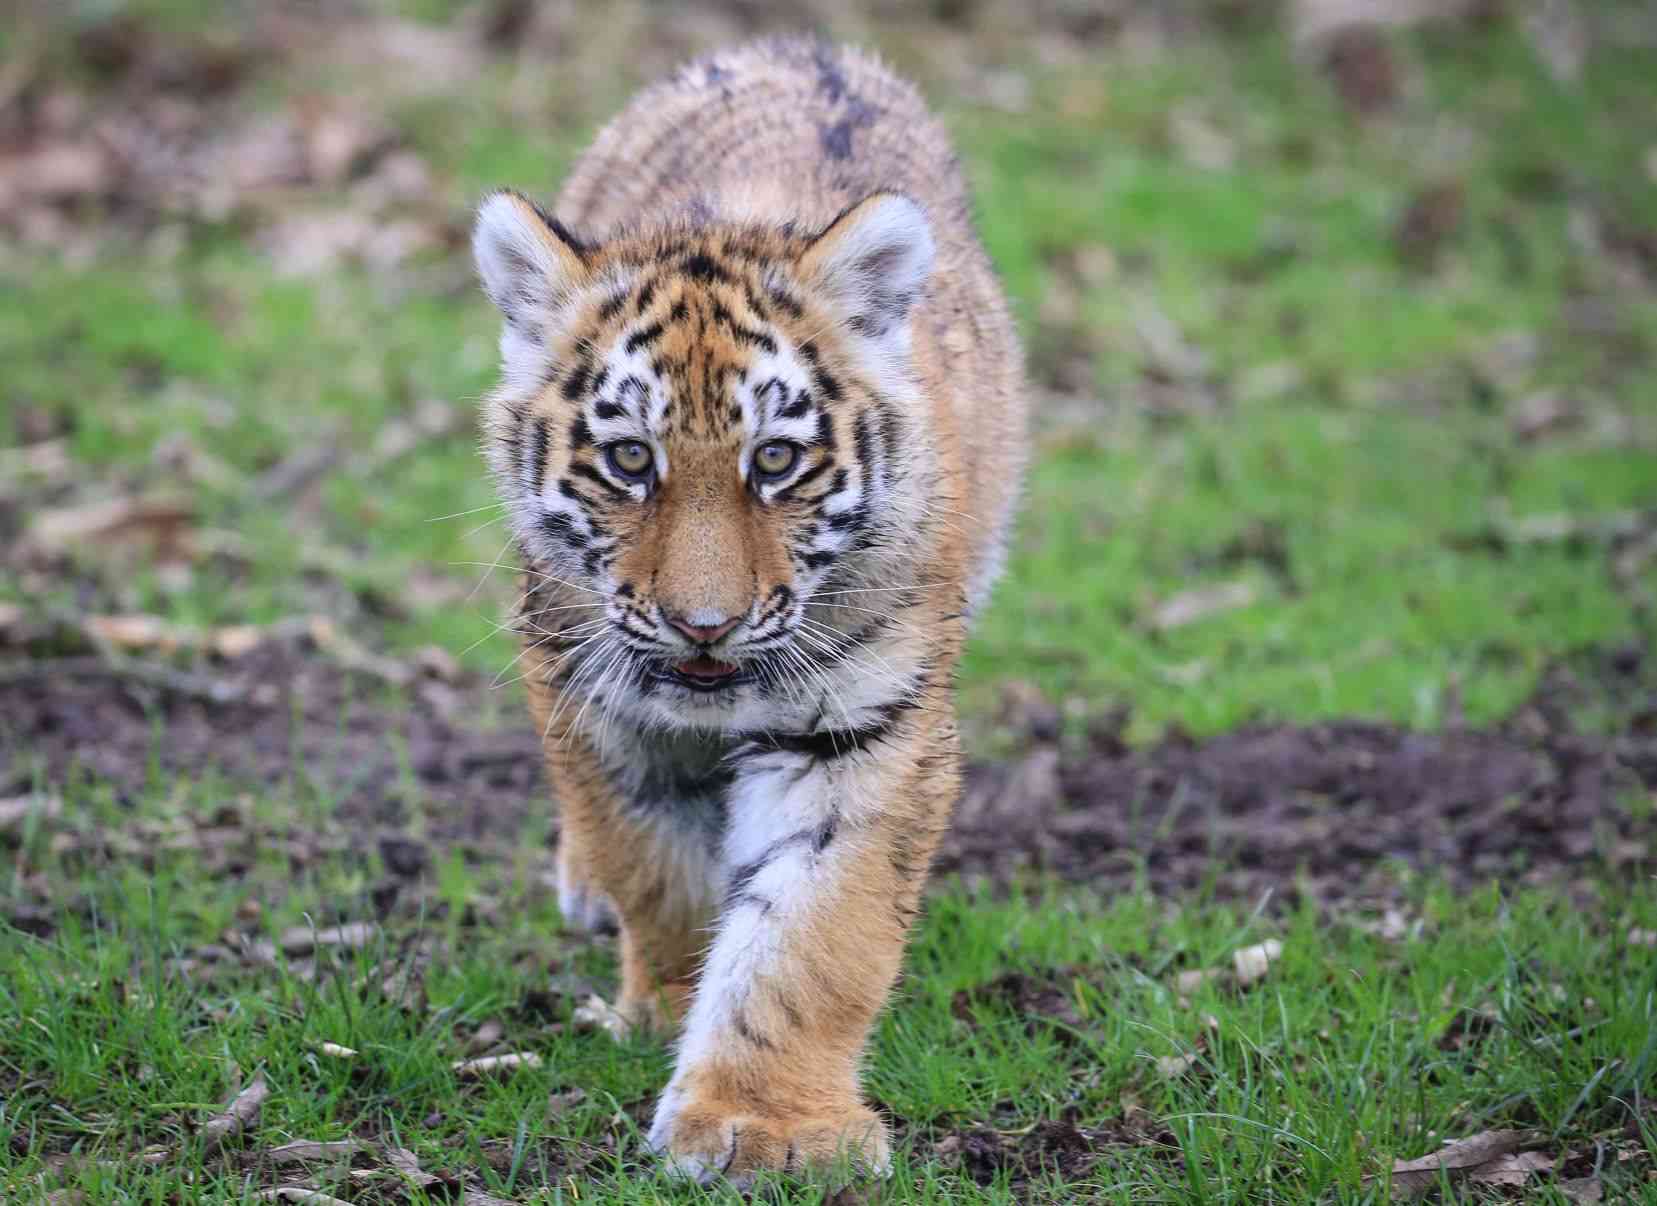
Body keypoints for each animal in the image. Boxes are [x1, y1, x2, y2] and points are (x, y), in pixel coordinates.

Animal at [470, 35, 1026, 1183]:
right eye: (628, 460)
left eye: (774, 462)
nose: (704, 624)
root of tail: (795, 47)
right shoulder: (596, 703)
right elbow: (657, 872)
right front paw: (665, 1003)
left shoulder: (866, 731)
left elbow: (810, 940)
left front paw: (763, 1126)